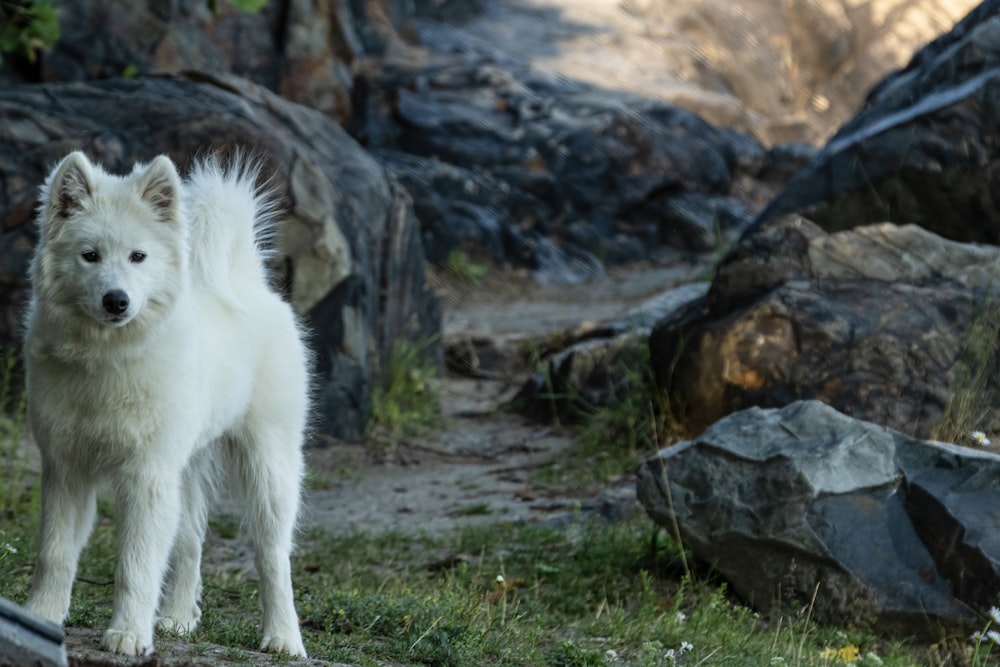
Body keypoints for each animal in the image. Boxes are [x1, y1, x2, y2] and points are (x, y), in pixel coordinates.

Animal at [24, 151, 312, 656]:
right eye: (90, 255)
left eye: (138, 257)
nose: (116, 301)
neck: (108, 359)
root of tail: (246, 279)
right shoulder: (66, 469)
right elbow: (55, 553)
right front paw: (41, 618)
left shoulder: (146, 476)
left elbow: (136, 565)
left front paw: (128, 634)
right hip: (187, 469)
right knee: (191, 541)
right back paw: (178, 619)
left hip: (268, 466)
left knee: (273, 556)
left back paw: (282, 638)